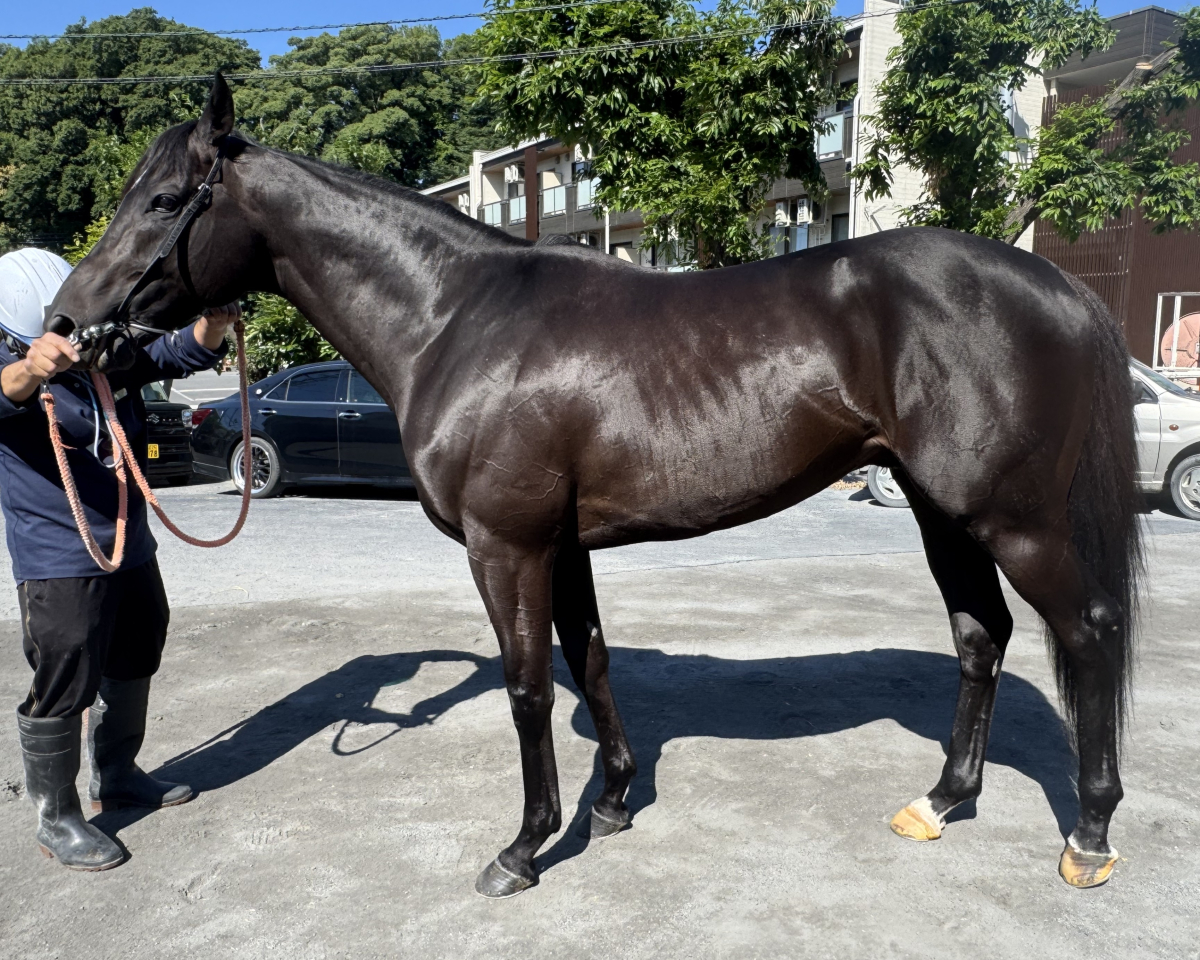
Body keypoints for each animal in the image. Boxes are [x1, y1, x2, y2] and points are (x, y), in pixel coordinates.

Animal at [48, 75, 1142, 897]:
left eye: (162, 203)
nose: (65, 323)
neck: (457, 318)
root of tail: (1055, 287)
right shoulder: (560, 546)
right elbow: (592, 661)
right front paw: (612, 801)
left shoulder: (507, 546)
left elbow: (529, 685)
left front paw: (523, 848)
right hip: (939, 509)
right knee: (980, 637)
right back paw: (944, 799)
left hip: (1012, 518)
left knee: (1086, 631)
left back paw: (1089, 836)